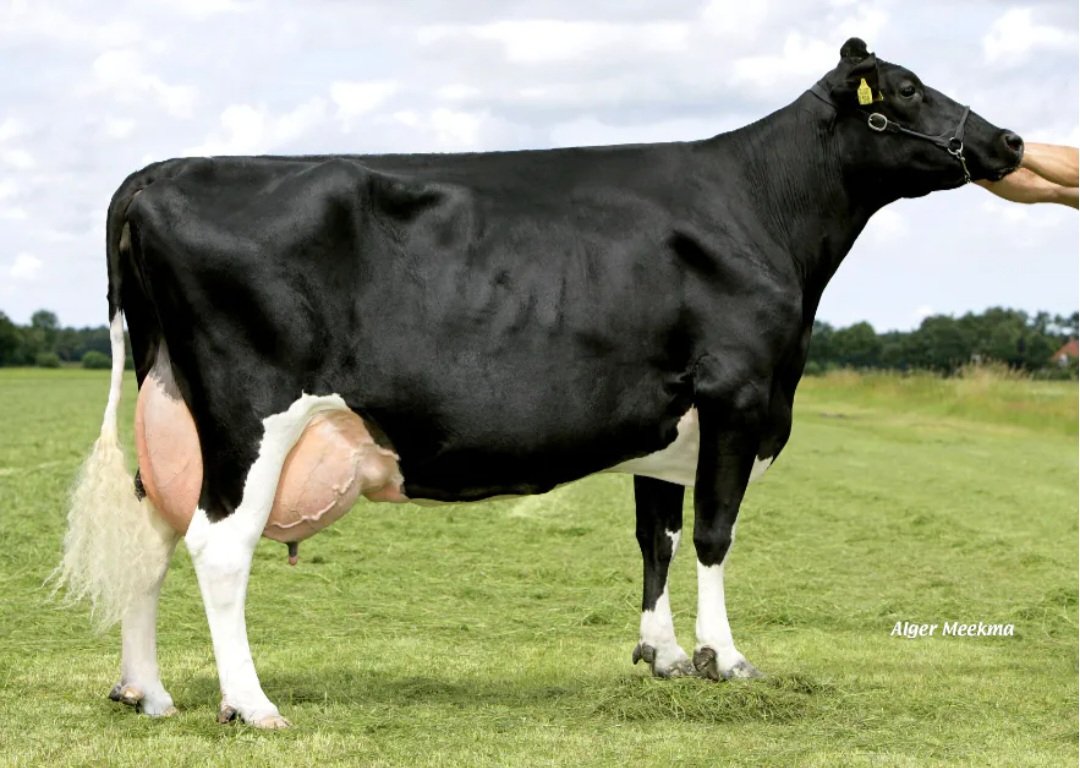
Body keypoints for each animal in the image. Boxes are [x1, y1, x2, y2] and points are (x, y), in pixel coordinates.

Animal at [57, 38, 1024, 728]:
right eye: (905, 89)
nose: (1008, 140)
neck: (762, 208)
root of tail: (159, 173)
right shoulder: (738, 394)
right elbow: (714, 535)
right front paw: (729, 660)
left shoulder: (668, 417)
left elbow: (657, 537)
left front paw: (664, 657)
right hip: (252, 412)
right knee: (218, 546)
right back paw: (251, 705)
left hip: (177, 410)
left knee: (153, 533)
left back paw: (145, 692)